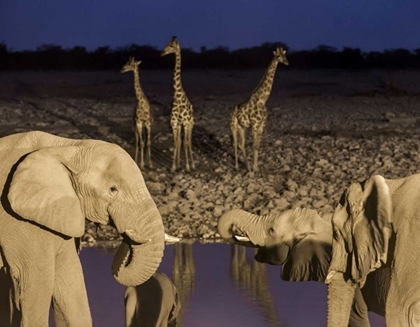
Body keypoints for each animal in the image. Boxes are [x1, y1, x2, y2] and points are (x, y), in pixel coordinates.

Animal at [0, 131, 166, 327]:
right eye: (113, 190)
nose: (126, 234)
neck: (67, 147)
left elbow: (71, 279)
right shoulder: (16, 218)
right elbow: (36, 280)